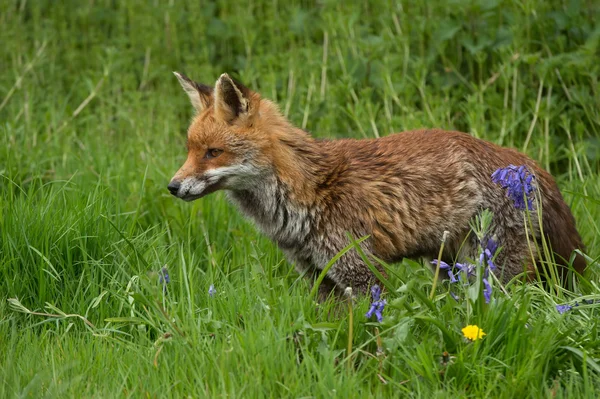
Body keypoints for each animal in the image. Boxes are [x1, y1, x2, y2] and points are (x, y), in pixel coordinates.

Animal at [168, 72, 584, 298]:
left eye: (212, 152)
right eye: (189, 150)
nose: (171, 187)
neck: (308, 189)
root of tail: (527, 165)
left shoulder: (363, 272)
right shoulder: (320, 277)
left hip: (492, 269)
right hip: (450, 267)